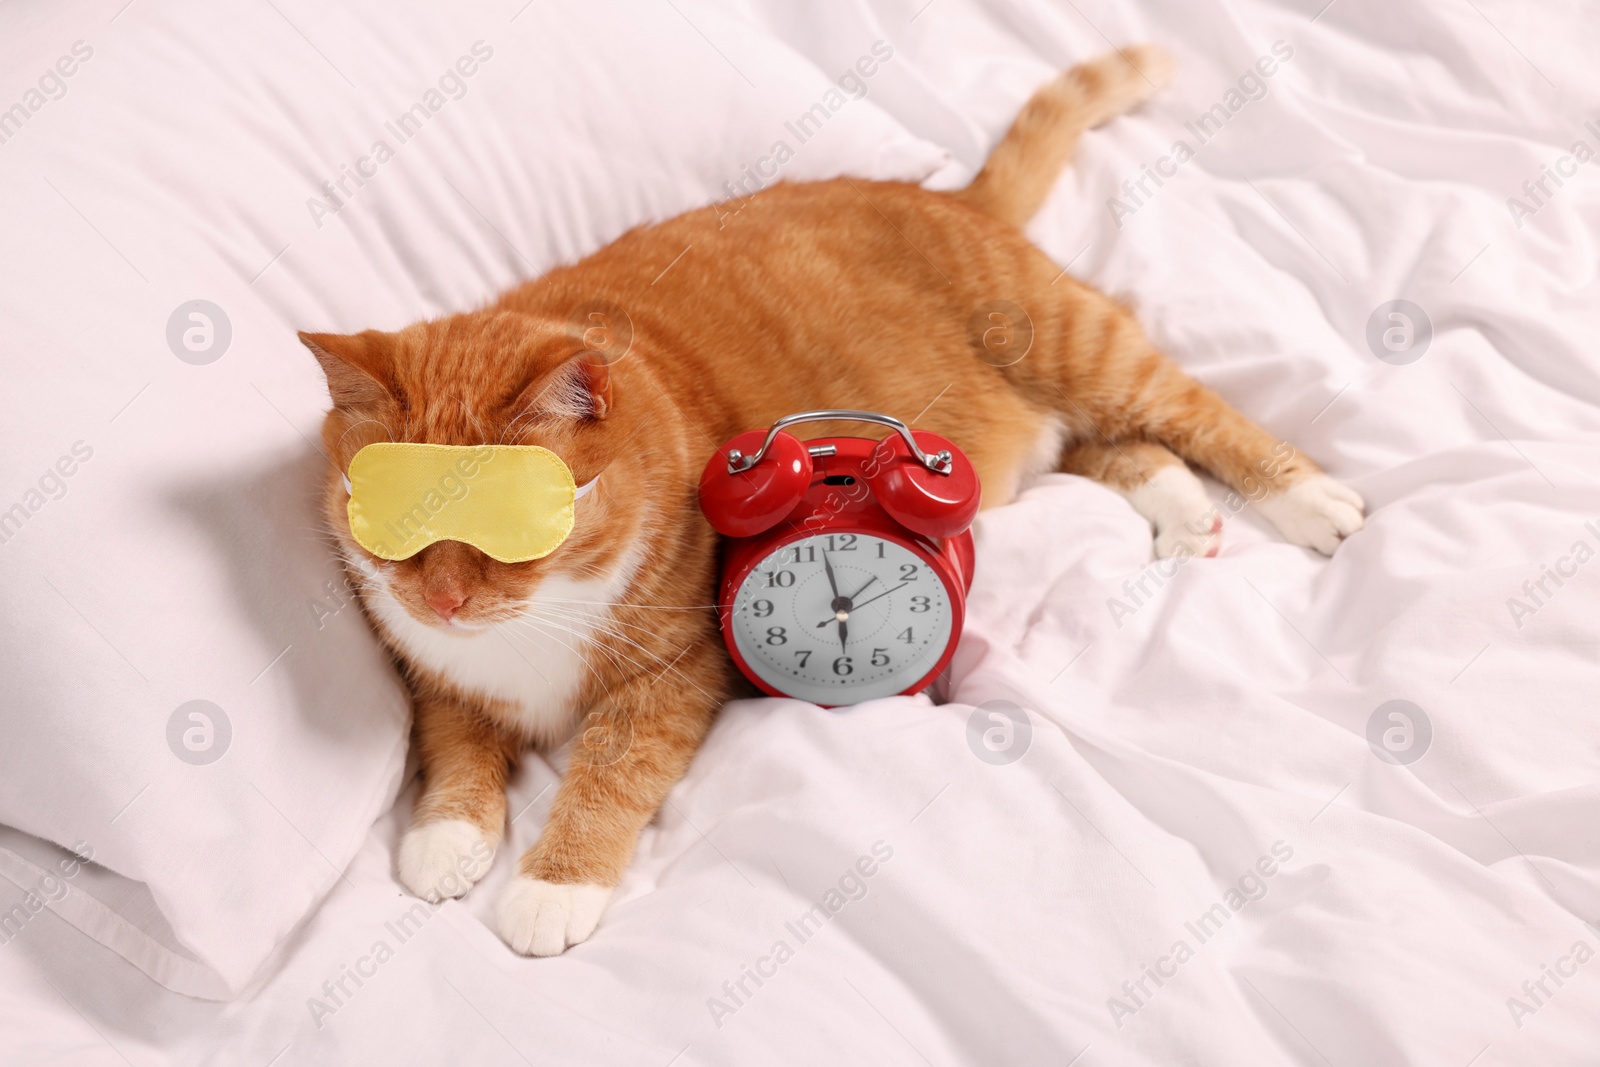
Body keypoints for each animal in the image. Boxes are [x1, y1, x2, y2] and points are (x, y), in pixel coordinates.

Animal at [300, 45, 1363, 953]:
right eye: (393, 520)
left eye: (519, 522)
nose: (442, 599)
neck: (532, 630)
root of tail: (947, 196)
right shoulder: (435, 675)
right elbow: (453, 744)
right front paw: (447, 836)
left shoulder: (678, 671)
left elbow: (610, 771)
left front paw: (550, 886)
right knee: (1116, 446)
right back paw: (1186, 514)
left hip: (1081, 350)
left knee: (1190, 412)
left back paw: (1313, 501)